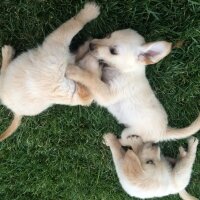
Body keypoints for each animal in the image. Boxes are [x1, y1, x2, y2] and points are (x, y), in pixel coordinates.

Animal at [0, 2, 100, 141]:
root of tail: (17, 113)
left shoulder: (58, 42)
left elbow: (75, 23)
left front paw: (89, 12)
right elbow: (76, 26)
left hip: (4, 79)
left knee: (3, 70)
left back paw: (7, 53)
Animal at [67, 28, 200, 142]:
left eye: (113, 52)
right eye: (108, 35)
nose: (91, 45)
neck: (124, 71)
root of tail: (164, 132)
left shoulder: (108, 95)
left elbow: (92, 79)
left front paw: (74, 71)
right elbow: (94, 76)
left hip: (130, 133)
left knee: (126, 139)